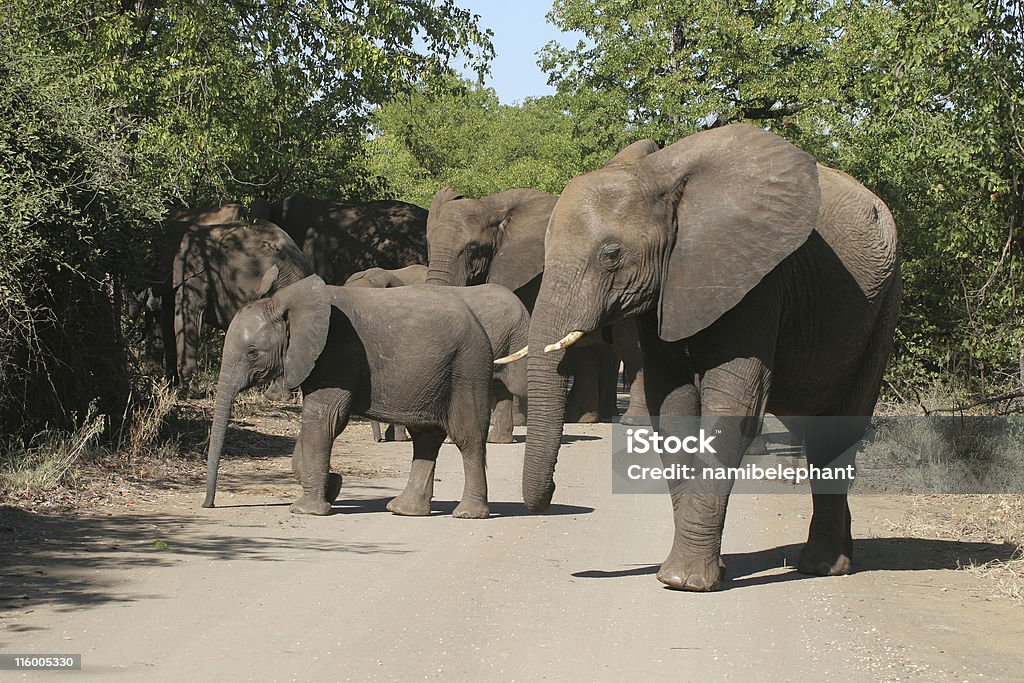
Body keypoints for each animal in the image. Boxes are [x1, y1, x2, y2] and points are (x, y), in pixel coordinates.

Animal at [200, 272, 495, 518]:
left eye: (252, 353)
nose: (208, 505)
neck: (287, 303)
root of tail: (477, 322)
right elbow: (316, 423)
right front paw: (333, 486)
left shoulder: (336, 352)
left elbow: (324, 419)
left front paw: (307, 509)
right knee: (425, 437)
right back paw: (404, 510)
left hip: (467, 368)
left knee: (467, 436)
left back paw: (467, 514)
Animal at [524, 124, 901, 593]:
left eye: (611, 255)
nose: (552, 496)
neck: (659, 177)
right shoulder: (667, 289)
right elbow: (673, 406)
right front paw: (698, 572)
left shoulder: (756, 279)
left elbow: (732, 409)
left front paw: (685, 581)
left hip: (883, 305)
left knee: (841, 423)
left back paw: (821, 566)